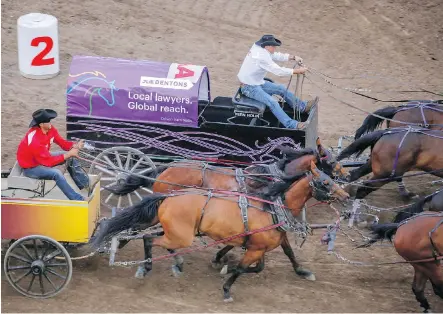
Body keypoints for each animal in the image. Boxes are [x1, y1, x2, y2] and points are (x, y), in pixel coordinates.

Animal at [92, 162, 352, 302]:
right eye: (326, 182)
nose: (347, 195)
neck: (272, 207)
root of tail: (169, 195)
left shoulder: (264, 245)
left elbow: (285, 256)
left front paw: (303, 271)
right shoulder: (255, 248)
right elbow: (242, 268)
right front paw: (227, 287)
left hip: (169, 227)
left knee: (143, 231)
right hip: (181, 235)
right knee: (148, 238)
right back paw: (147, 265)